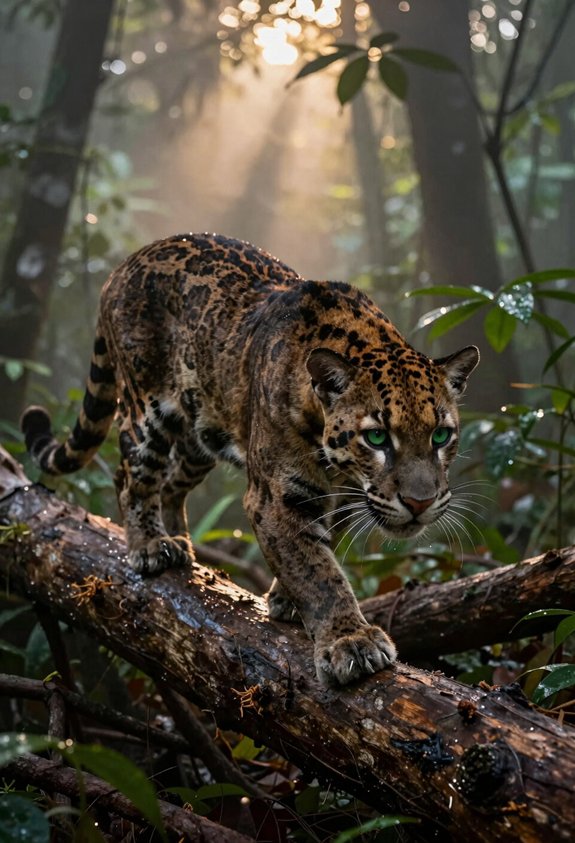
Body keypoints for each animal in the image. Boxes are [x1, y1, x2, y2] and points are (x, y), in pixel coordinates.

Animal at [22, 233, 479, 687]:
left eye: (441, 435)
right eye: (378, 437)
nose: (420, 503)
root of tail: (131, 260)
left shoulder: (341, 498)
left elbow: (315, 551)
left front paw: (286, 599)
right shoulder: (275, 498)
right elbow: (317, 572)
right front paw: (349, 640)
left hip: (201, 438)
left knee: (171, 484)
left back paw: (179, 542)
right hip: (145, 409)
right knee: (131, 476)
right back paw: (149, 545)